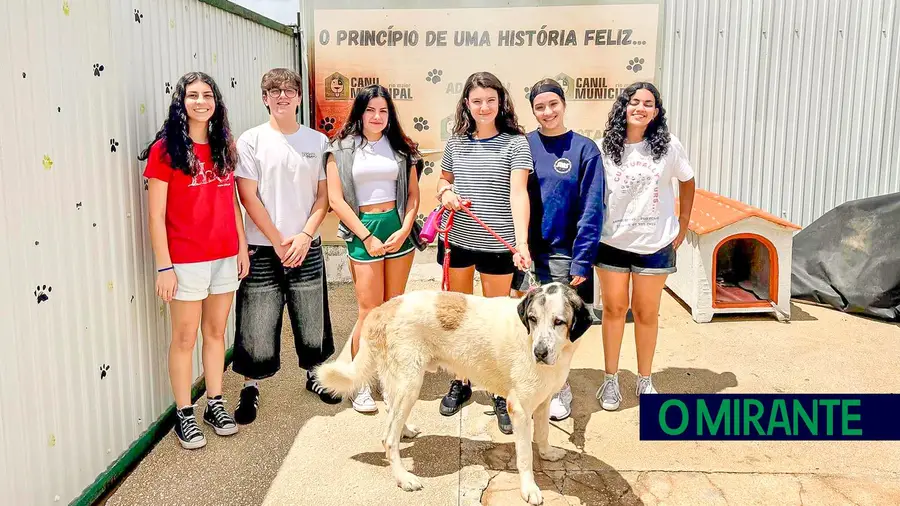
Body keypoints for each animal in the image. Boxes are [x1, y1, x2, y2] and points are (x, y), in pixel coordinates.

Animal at [312, 282, 596, 504]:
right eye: (533, 319)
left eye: (559, 322)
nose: (539, 352)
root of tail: (382, 310)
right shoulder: (520, 409)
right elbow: (525, 455)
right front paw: (529, 489)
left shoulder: (544, 400)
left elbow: (544, 433)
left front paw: (548, 454)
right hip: (410, 383)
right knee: (388, 439)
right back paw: (403, 478)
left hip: (400, 383)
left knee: (392, 413)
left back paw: (405, 429)